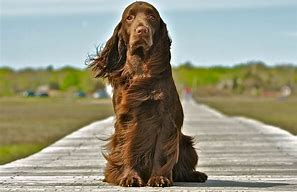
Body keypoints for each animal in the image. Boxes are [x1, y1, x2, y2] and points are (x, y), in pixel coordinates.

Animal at [87, 1, 206, 188]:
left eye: (151, 16)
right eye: (129, 18)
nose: (142, 30)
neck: (142, 69)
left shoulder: (165, 120)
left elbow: (161, 153)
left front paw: (159, 178)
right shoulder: (127, 120)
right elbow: (128, 149)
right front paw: (129, 177)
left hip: (187, 145)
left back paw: (196, 174)